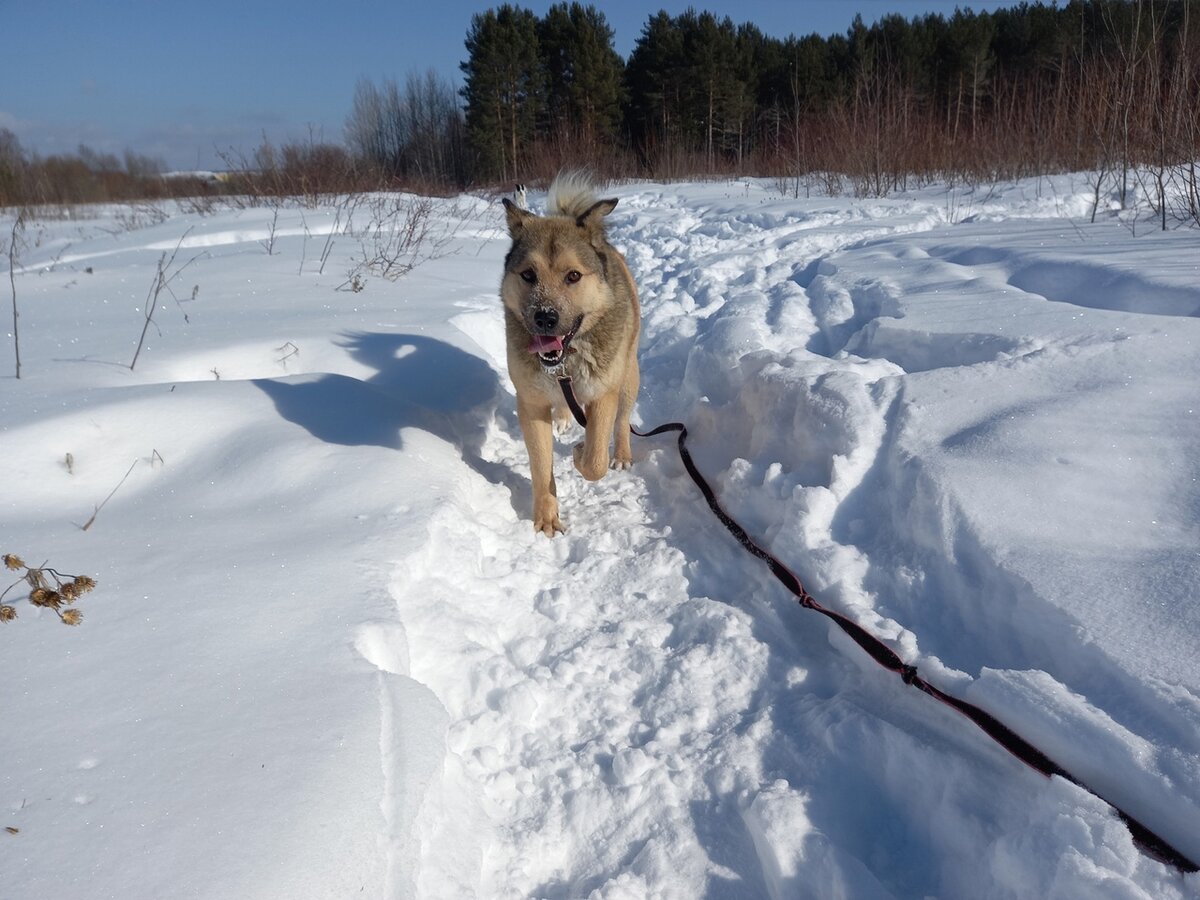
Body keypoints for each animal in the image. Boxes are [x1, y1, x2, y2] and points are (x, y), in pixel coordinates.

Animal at [501, 171, 643, 535]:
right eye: (528, 275)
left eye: (573, 276)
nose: (545, 317)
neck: (568, 358)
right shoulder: (531, 403)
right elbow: (540, 465)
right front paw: (546, 517)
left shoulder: (603, 393)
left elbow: (595, 460)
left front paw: (580, 453)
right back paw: (565, 418)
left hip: (628, 375)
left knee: (623, 420)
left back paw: (623, 453)